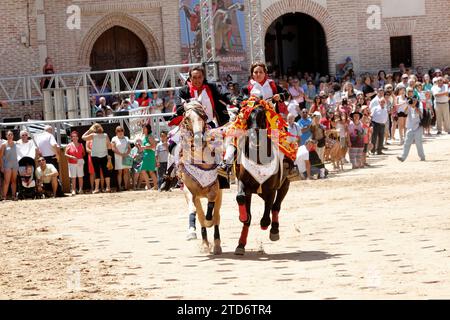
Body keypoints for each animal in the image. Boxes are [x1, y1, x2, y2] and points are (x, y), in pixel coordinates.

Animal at [178, 101, 223, 254]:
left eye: (202, 116)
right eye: (187, 118)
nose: (198, 138)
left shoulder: (215, 189)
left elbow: (211, 211)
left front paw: (209, 221)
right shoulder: (189, 190)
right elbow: (194, 211)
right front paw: (191, 232)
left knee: (217, 216)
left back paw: (217, 245)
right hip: (197, 197)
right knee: (200, 215)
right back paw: (204, 244)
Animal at [234, 99, 294, 255]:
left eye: (262, 116)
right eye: (248, 118)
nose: (254, 135)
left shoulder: (271, 188)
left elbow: (268, 210)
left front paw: (266, 224)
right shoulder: (245, 185)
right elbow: (241, 200)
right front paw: (241, 243)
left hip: (285, 184)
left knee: (276, 206)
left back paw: (274, 230)